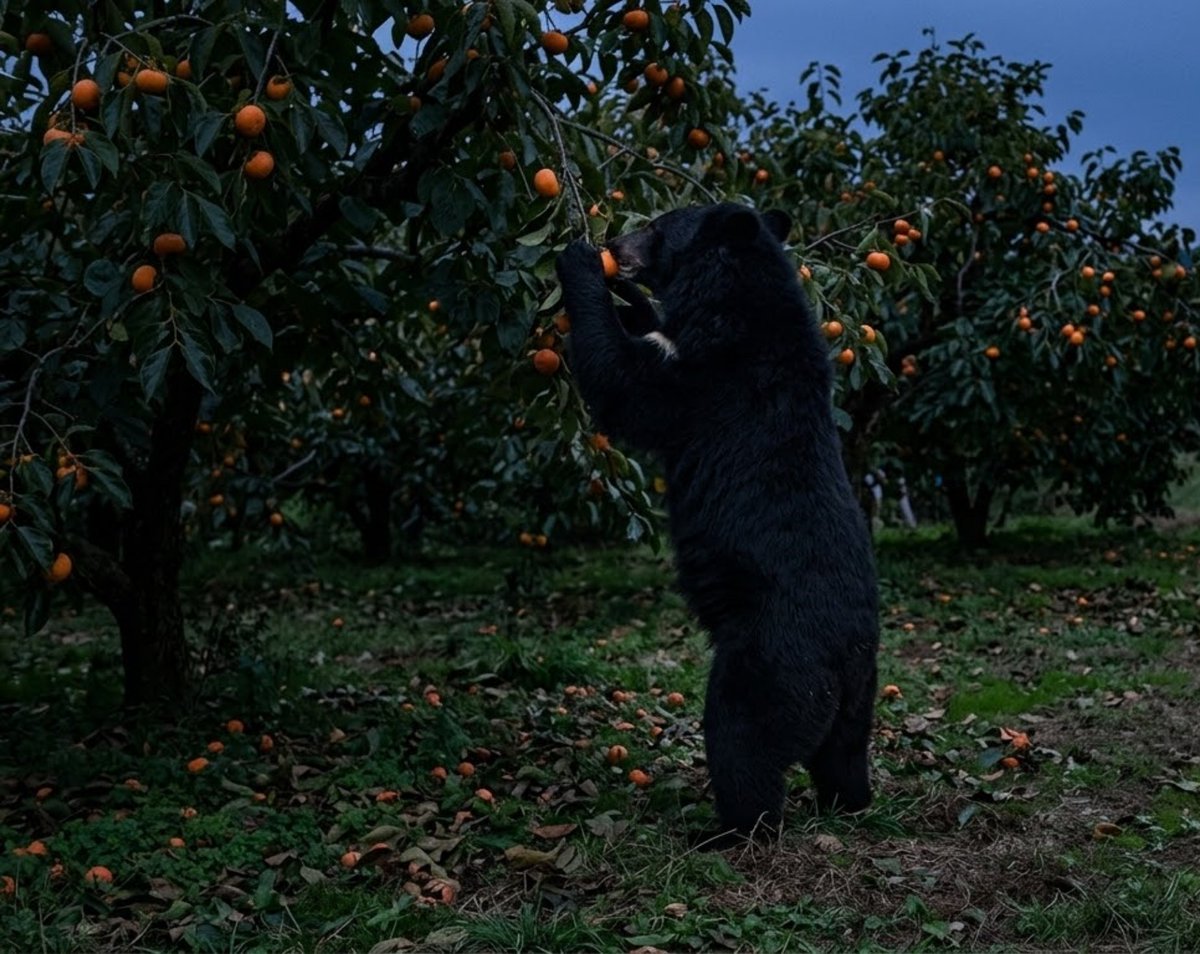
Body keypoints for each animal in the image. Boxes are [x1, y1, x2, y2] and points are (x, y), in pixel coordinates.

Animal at [555, 203, 879, 836]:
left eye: (656, 226)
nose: (615, 244)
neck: (736, 300)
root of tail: (843, 659)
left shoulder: (711, 381)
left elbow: (628, 383)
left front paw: (578, 264)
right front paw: (626, 292)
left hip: (768, 661)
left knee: (739, 739)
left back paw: (727, 830)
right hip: (858, 701)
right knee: (844, 755)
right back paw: (848, 802)